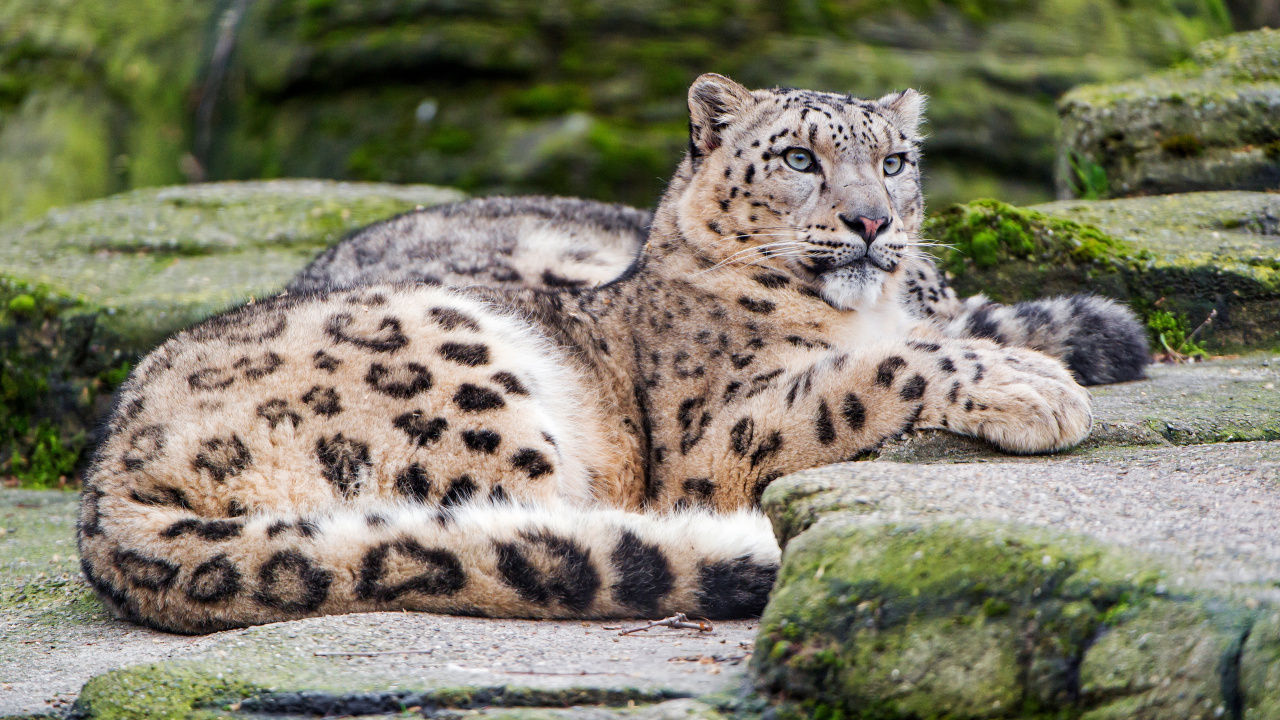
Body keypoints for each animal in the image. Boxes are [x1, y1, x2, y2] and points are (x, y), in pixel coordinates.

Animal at [79, 74, 1096, 634]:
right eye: (799, 160)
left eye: (894, 162)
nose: (872, 222)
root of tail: (105, 483)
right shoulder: (717, 438)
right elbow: (873, 374)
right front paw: (1038, 387)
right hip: (462, 377)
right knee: (533, 529)